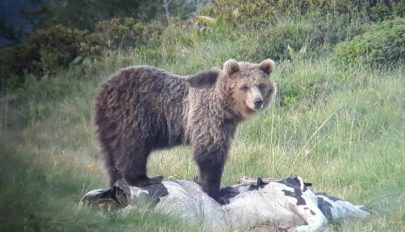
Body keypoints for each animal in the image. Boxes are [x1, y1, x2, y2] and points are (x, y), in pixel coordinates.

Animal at [94, 59, 276, 202]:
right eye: (244, 87)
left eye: (261, 85)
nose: (258, 101)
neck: (225, 107)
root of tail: (105, 89)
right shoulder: (207, 117)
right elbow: (210, 153)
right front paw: (217, 193)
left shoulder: (226, 125)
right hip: (133, 115)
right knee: (132, 148)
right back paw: (144, 179)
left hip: (109, 124)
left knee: (110, 154)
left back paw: (117, 181)